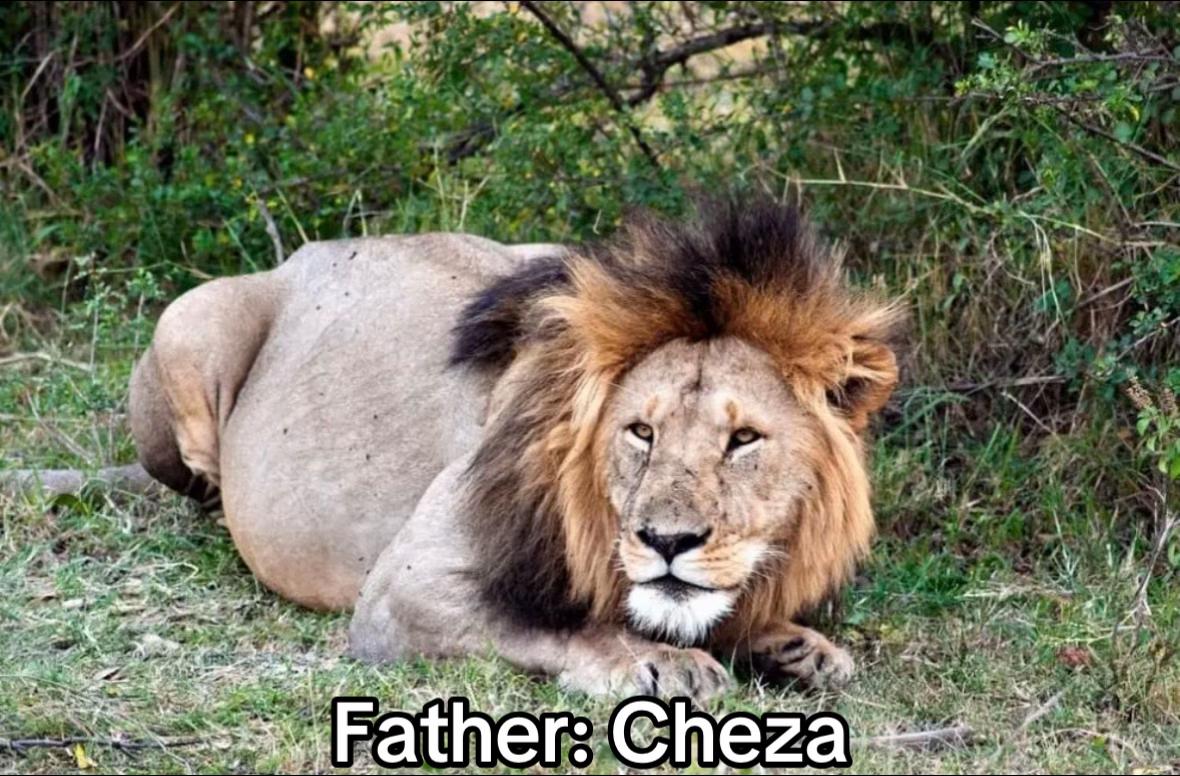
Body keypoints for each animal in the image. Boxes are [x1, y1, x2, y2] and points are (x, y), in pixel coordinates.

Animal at [346, 199, 904, 699]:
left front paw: (795, 647)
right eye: (641, 431)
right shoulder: (399, 588)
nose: (668, 541)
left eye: (743, 438)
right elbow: (560, 625)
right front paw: (667, 661)